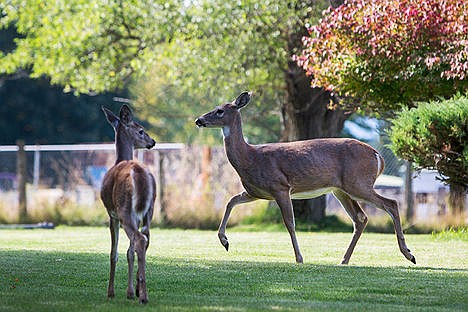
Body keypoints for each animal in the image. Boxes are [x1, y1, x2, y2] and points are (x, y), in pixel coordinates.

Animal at [101, 104, 157, 302]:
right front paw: (132, 290)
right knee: (145, 239)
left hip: (124, 209)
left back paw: (143, 296)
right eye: (141, 131)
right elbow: (129, 253)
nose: (152, 141)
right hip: (149, 210)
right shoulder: (137, 215)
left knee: (139, 239)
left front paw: (111, 292)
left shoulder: (112, 214)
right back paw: (141, 290)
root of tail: (138, 172)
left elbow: (114, 253)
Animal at [196, 92, 414, 266]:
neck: (250, 157)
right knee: (360, 218)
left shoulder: (280, 186)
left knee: (391, 203)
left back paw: (409, 254)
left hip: (358, 183)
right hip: (341, 189)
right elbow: (230, 202)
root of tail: (379, 156)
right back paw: (344, 260)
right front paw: (224, 241)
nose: (199, 120)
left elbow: (290, 223)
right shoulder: (255, 192)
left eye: (219, 111)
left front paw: (299, 258)